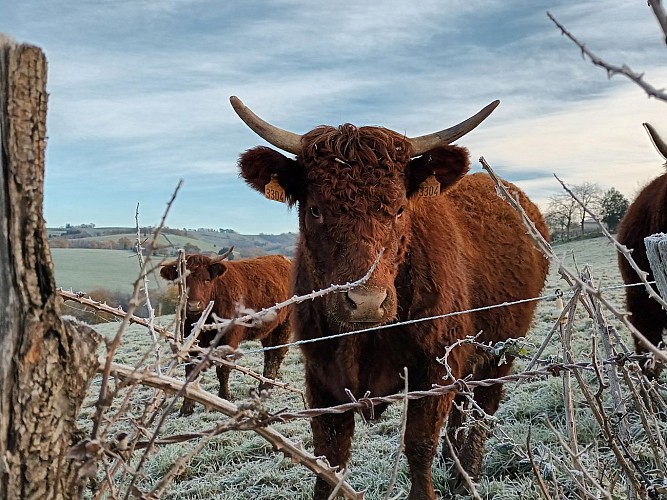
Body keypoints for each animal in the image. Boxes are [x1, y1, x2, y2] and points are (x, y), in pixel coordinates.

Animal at [160, 252, 290, 416]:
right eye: (183, 282)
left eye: (207, 279)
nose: (193, 305)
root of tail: (282, 258)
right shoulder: (190, 340)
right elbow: (190, 370)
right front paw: (187, 407)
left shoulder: (229, 338)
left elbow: (223, 368)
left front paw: (223, 399)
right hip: (268, 329)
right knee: (269, 353)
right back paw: (265, 385)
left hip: (285, 323)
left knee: (278, 353)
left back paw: (265, 387)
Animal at [232, 95, 552, 498]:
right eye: (315, 209)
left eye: (400, 208)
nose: (365, 301)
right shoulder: (320, 377)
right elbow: (329, 456)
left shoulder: (434, 369)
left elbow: (418, 445)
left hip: (503, 347)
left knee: (484, 407)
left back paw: (467, 473)